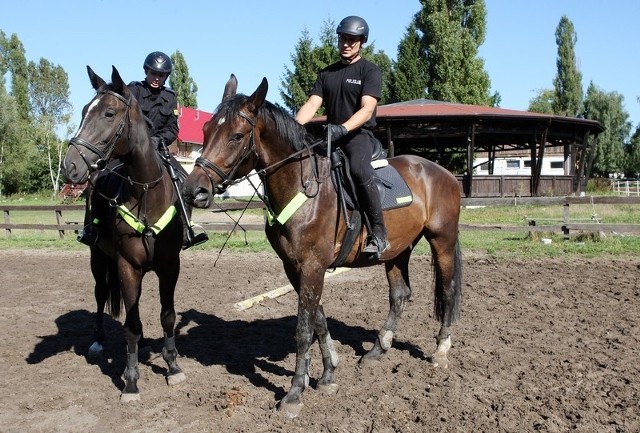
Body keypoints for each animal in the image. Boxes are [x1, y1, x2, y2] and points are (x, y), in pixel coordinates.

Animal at [62, 66, 185, 402]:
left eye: (108, 113)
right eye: (83, 111)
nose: (70, 166)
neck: (146, 194)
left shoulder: (170, 267)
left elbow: (167, 315)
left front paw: (172, 366)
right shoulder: (127, 266)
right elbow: (130, 324)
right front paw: (131, 381)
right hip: (98, 259)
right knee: (101, 294)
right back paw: (98, 340)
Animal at [182, 76, 462, 416]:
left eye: (236, 136)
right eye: (206, 130)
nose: (194, 190)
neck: (302, 189)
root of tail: (443, 172)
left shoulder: (313, 266)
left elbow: (303, 329)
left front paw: (294, 393)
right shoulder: (295, 268)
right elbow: (318, 319)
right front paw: (328, 374)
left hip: (442, 240)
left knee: (447, 291)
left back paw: (441, 351)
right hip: (397, 250)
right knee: (400, 295)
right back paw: (378, 349)